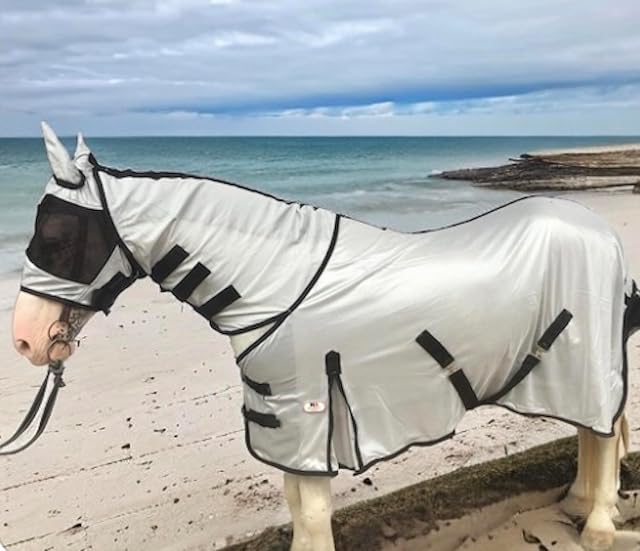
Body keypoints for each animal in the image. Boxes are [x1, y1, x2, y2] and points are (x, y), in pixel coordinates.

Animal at [8, 123, 640, 551]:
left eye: (59, 237)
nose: (25, 342)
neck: (278, 284)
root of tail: (598, 229)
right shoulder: (288, 428)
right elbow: (297, 509)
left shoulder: (310, 413)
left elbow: (311, 515)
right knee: (595, 432)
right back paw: (579, 501)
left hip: (586, 365)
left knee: (603, 430)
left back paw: (598, 524)